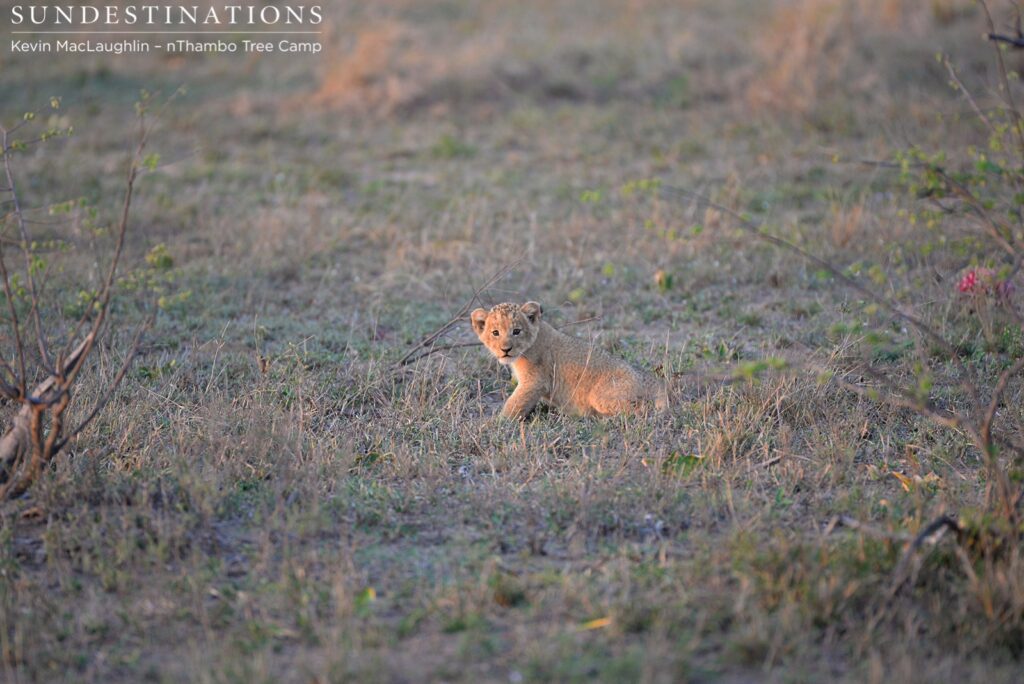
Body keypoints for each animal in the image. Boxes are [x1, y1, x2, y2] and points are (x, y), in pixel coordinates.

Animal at [470, 301, 669, 419]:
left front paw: (498, 422)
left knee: (640, 411)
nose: (505, 349)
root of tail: (651, 380)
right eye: (495, 332)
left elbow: (514, 403)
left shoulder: (535, 381)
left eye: (516, 331)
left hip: (601, 395)